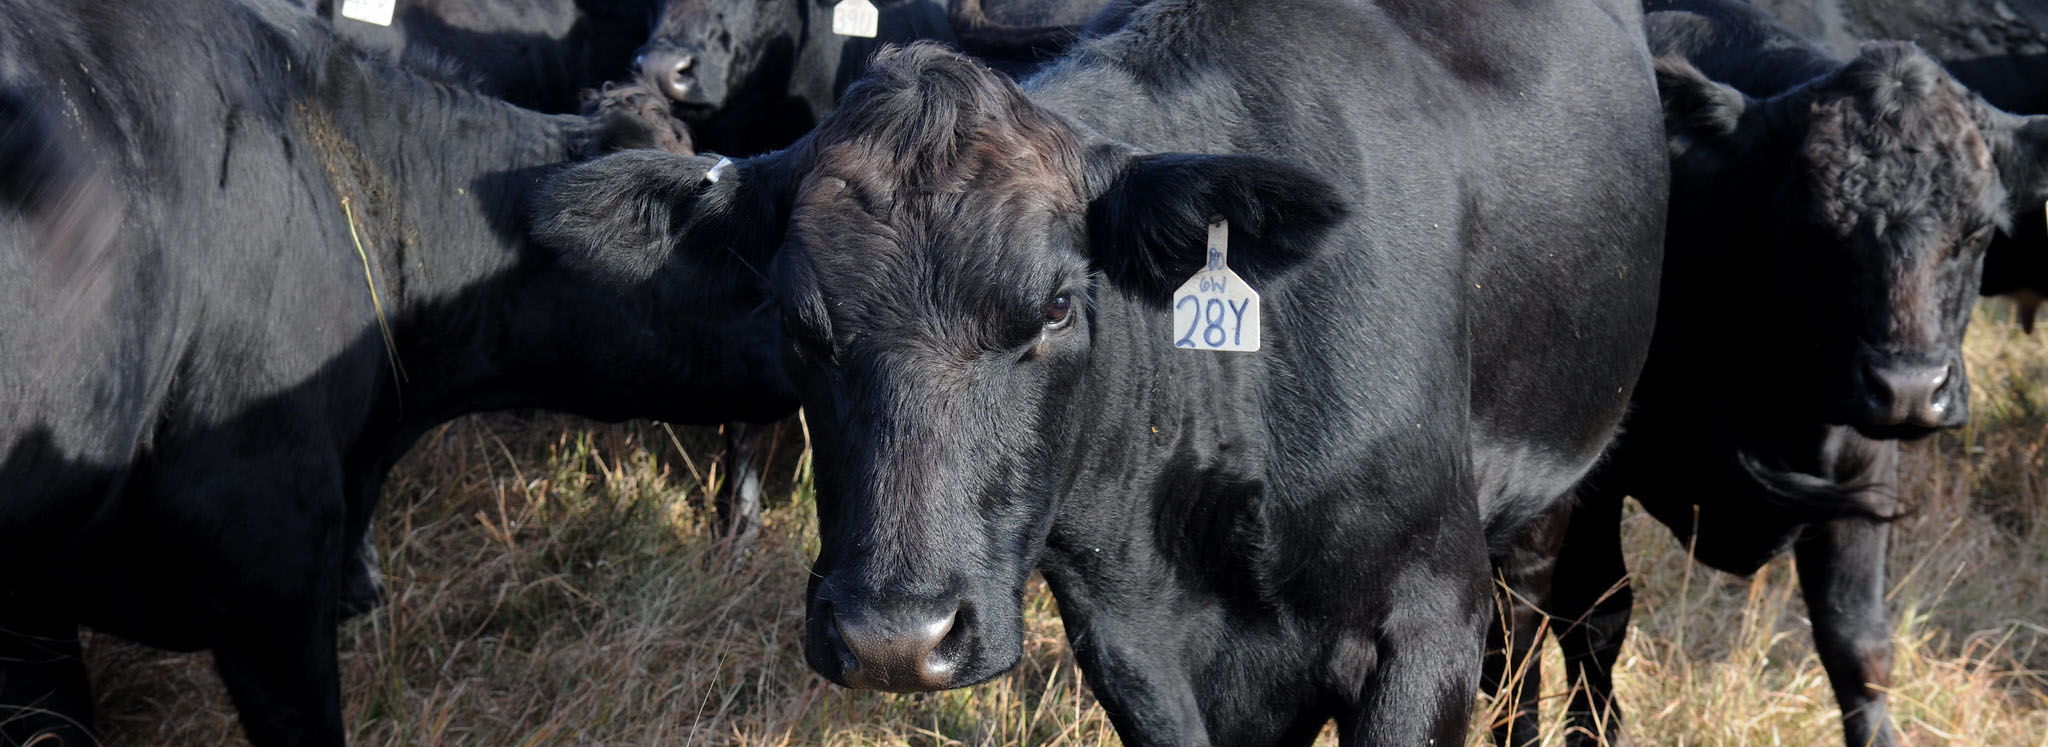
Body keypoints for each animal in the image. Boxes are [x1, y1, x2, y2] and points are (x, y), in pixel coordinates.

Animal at [533, 0, 1671, 740]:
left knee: (1552, 618)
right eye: (796, 319)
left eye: (1053, 307)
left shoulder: (1425, 622)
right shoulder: (1131, 646)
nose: (893, 638)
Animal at [1482, 2, 2048, 745]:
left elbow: (1858, 646)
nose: (1908, 389)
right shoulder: (1585, 478)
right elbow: (1588, 620)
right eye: (1813, 229)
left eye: (1978, 231)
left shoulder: (1865, 473)